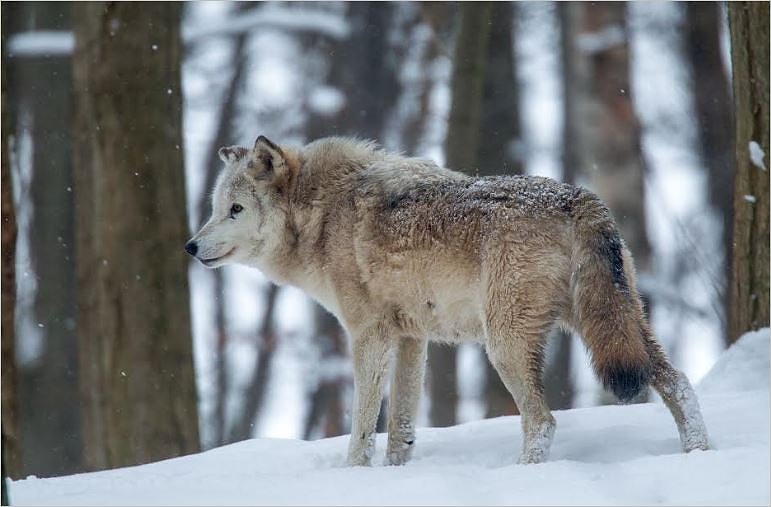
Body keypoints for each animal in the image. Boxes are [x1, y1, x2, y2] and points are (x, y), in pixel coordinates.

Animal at [186, 135, 710, 466]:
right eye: (215, 209)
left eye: (235, 210)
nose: (190, 246)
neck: (321, 214)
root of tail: (578, 196)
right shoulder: (411, 339)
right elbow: (400, 428)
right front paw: (395, 475)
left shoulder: (370, 336)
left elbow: (362, 427)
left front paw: (353, 475)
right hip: (617, 329)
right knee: (678, 383)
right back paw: (699, 455)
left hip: (506, 347)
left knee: (542, 421)